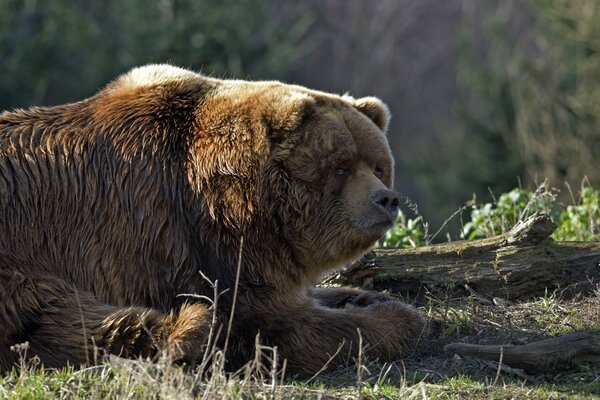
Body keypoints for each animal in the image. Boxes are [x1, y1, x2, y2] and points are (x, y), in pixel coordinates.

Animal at [0, 64, 424, 376]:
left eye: (378, 166)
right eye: (340, 167)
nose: (386, 199)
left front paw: (363, 295)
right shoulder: (199, 243)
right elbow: (275, 325)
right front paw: (395, 318)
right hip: (24, 256)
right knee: (61, 317)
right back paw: (189, 328)